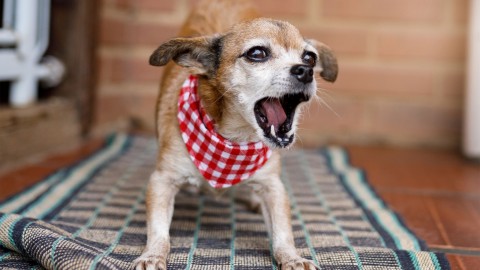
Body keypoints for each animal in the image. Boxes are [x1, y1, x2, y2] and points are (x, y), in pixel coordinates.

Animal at [134, 1, 338, 268]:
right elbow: (158, 230)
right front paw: (152, 254)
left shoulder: (273, 186)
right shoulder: (162, 181)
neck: (235, 140)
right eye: (257, 53)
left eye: (310, 57)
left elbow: (283, 231)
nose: (306, 71)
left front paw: (291, 257)